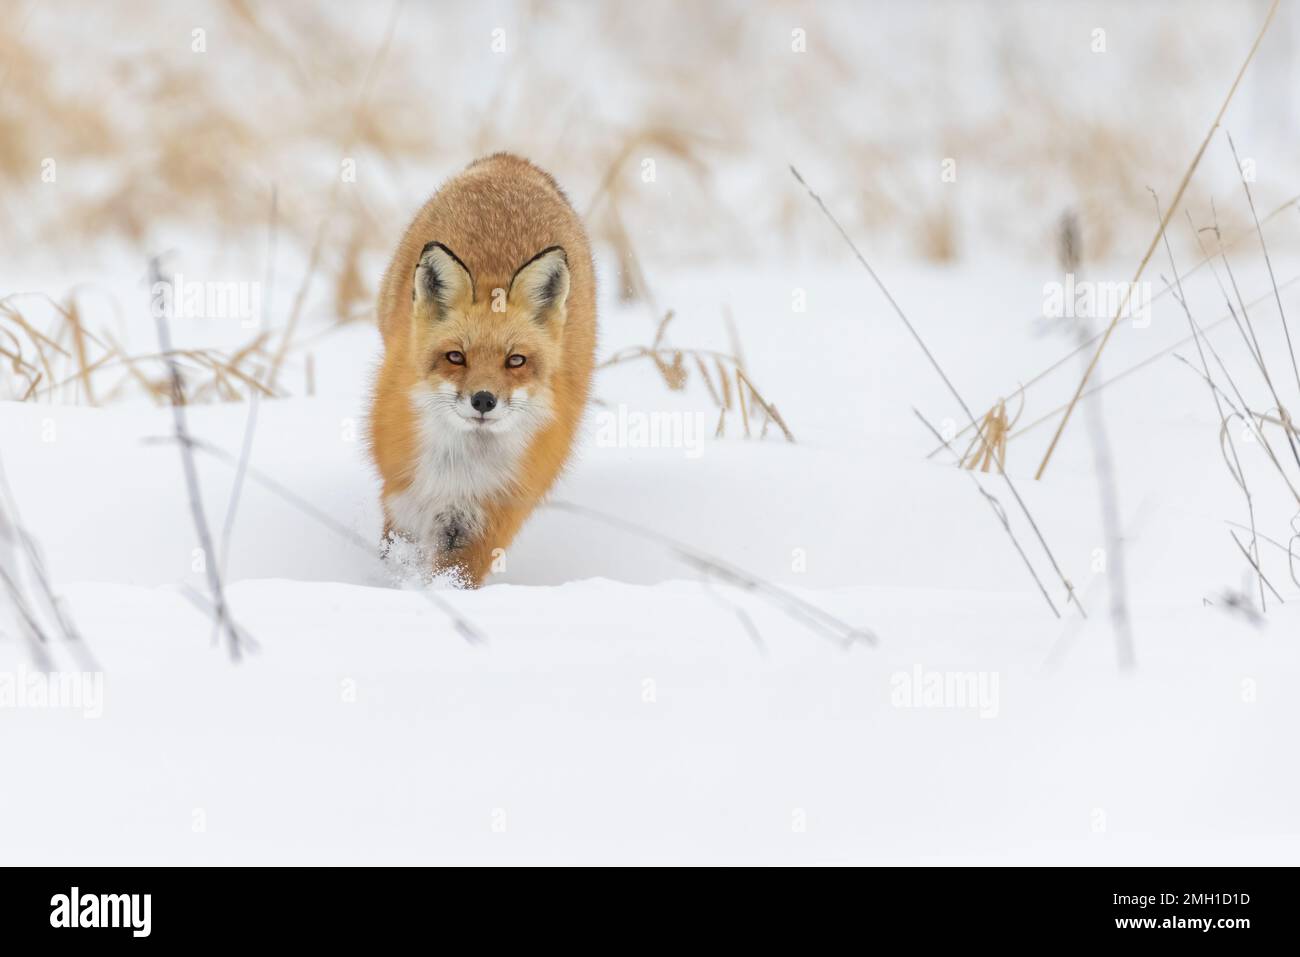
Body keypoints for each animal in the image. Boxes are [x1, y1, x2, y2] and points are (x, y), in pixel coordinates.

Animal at [368, 153, 596, 586]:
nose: (484, 400)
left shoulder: (485, 519)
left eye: (516, 361)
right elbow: (397, 557)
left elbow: (454, 578)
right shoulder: (403, 498)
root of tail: (511, 161)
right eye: (456, 357)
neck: (461, 468)